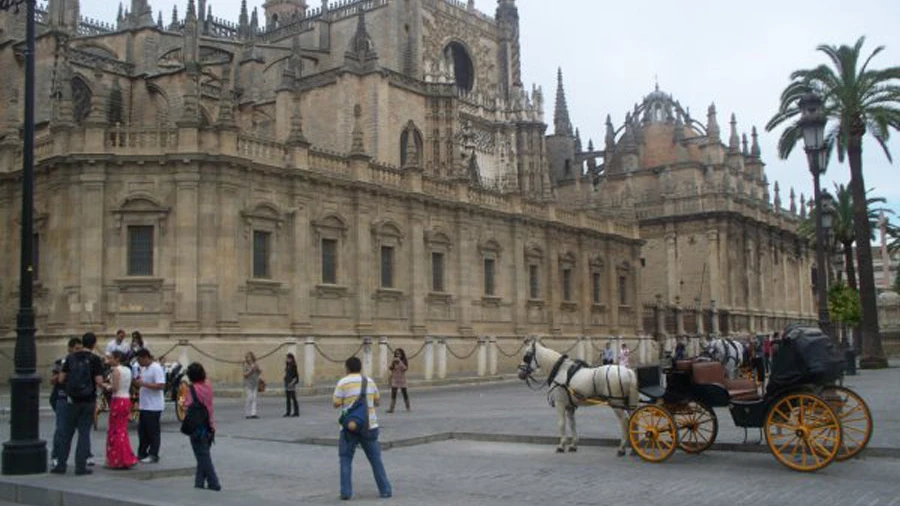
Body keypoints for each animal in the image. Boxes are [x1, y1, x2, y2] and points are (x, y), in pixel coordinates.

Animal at [512, 340, 640, 454]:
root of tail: (628, 372)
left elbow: (561, 423)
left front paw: (561, 445)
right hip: (628, 403)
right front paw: (573, 445)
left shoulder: (560, 403)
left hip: (616, 403)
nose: (520, 373)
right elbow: (572, 424)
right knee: (634, 420)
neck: (560, 370)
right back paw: (633, 449)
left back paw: (622, 448)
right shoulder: (570, 406)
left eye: (527, 355)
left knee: (624, 421)